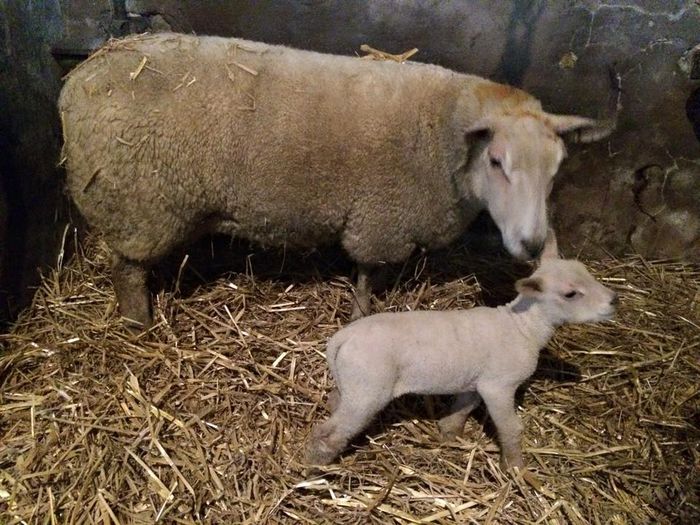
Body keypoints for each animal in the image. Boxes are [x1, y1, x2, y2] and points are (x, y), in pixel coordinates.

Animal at [61, 32, 616, 326]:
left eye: (557, 168)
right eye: (497, 161)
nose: (533, 244)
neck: (442, 134)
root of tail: (77, 80)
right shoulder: (380, 220)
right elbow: (367, 275)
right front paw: (362, 314)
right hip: (140, 206)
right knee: (128, 272)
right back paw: (139, 323)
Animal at [306, 248, 616, 468]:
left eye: (587, 273)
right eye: (570, 293)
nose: (613, 300)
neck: (522, 327)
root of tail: (342, 338)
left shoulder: (477, 381)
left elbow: (464, 405)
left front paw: (449, 432)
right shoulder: (499, 385)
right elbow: (511, 428)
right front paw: (515, 468)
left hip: (353, 381)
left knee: (336, 400)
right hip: (369, 389)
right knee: (331, 430)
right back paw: (316, 463)